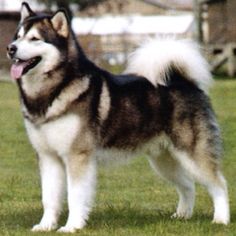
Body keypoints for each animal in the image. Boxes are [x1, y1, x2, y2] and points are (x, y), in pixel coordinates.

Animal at [6, 1, 230, 233]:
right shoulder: (48, 157)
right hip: (164, 160)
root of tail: (184, 82)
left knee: (219, 184)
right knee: (188, 185)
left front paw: (72, 226)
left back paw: (221, 219)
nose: (10, 48)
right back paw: (182, 215)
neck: (52, 91)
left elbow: (75, 196)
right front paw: (46, 225)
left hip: (193, 155)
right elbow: (49, 197)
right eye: (18, 36)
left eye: (35, 38)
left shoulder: (78, 156)